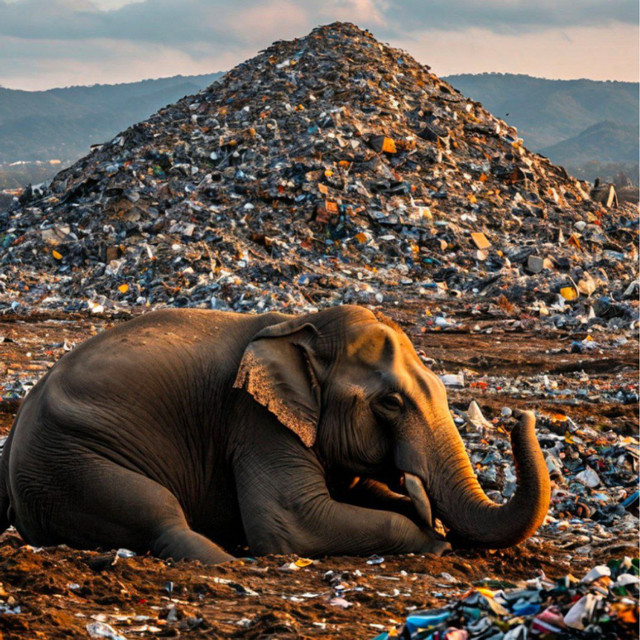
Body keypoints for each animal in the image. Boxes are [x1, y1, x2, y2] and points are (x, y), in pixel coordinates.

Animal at [0, 305, 550, 564]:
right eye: (390, 403)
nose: (519, 416)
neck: (302, 325)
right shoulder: (253, 418)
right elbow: (293, 522)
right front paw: (435, 543)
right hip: (66, 461)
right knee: (155, 513)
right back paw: (227, 557)